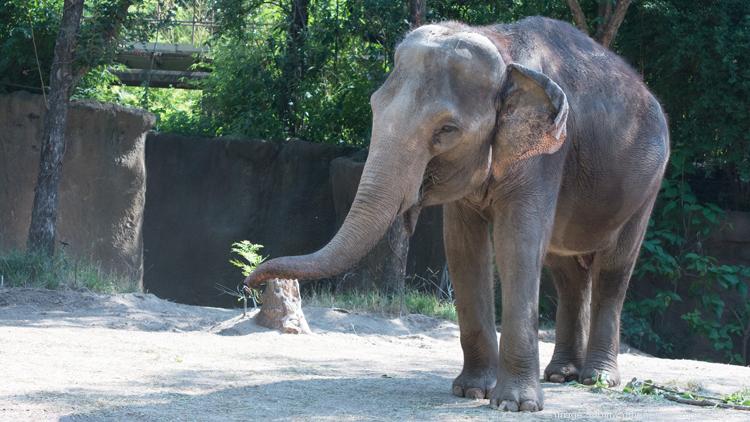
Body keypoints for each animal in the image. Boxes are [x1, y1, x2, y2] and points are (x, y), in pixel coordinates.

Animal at [245, 16, 669, 412]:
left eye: (446, 130)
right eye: (373, 107)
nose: (251, 281)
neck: (503, 49)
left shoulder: (545, 156)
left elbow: (516, 243)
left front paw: (513, 404)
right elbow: (463, 247)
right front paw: (470, 391)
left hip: (648, 185)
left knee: (613, 269)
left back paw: (597, 379)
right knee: (565, 272)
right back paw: (561, 375)